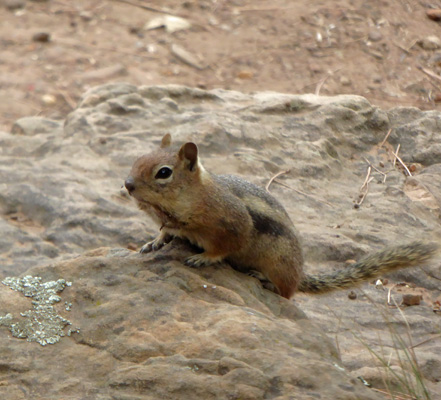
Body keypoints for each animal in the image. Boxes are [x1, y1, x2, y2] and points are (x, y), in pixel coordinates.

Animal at [124, 134, 436, 296]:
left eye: (164, 173)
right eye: (137, 160)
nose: (127, 185)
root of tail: (300, 271)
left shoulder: (232, 223)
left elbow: (226, 246)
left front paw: (204, 257)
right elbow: (166, 231)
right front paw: (154, 242)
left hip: (278, 262)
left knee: (288, 292)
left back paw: (265, 280)